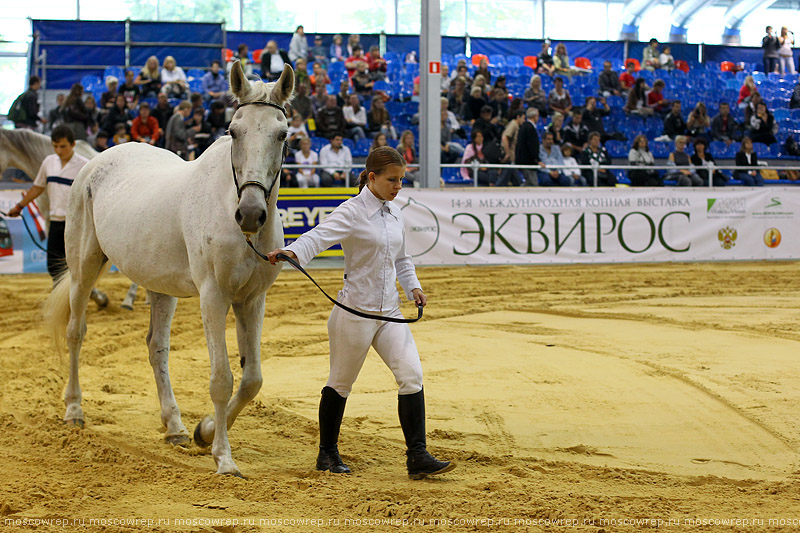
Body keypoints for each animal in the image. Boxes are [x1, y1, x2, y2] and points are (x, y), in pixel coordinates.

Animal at [44, 61, 294, 474]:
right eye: (234, 131)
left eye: (282, 134)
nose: (251, 213)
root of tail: (94, 162)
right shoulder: (213, 296)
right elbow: (222, 378)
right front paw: (224, 458)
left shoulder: (252, 299)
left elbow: (252, 379)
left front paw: (204, 431)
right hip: (84, 266)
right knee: (75, 332)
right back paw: (75, 410)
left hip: (159, 287)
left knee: (156, 348)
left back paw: (174, 425)